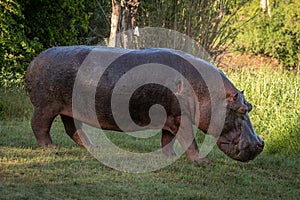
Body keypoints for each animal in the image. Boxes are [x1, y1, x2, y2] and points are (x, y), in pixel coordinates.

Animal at [25, 46, 264, 163]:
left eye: (250, 107)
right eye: (241, 110)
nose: (259, 144)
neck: (210, 93)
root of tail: (34, 61)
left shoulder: (173, 118)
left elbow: (167, 140)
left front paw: (170, 157)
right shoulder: (182, 118)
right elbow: (190, 141)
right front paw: (202, 161)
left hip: (68, 108)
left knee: (73, 128)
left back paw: (93, 147)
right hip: (47, 106)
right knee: (39, 125)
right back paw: (50, 147)